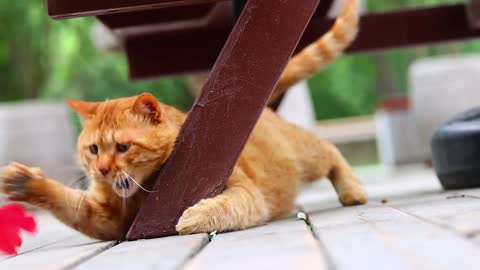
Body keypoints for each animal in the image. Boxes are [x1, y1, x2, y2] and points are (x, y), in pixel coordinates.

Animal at [0, 0, 366, 240]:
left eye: (122, 147)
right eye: (92, 150)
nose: (101, 170)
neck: (141, 192)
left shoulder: (245, 192)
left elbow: (227, 207)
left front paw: (194, 217)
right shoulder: (105, 219)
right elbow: (66, 200)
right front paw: (23, 182)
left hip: (306, 157)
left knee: (331, 150)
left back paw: (353, 191)